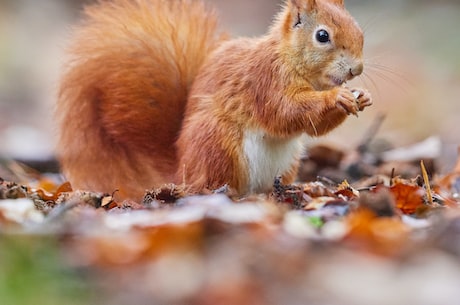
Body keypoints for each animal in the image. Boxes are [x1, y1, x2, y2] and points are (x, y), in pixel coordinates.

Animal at [56, 0, 374, 201]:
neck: (290, 59)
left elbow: (313, 127)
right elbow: (286, 111)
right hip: (219, 143)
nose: (356, 69)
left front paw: (362, 97)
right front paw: (337, 96)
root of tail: (183, 171)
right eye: (322, 35)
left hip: (287, 161)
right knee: (208, 185)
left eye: (360, 31)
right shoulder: (265, 81)